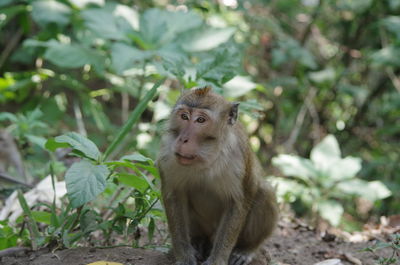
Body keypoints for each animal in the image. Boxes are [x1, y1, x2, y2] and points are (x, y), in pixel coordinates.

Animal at [157, 86, 278, 264]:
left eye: (201, 120)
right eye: (184, 116)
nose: (183, 139)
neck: (206, 156)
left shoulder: (238, 158)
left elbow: (238, 202)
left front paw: (217, 260)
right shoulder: (168, 155)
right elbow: (174, 195)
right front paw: (184, 256)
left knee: (265, 191)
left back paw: (247, 249)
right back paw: (198, 241)